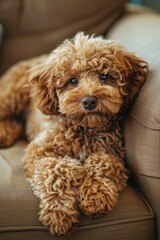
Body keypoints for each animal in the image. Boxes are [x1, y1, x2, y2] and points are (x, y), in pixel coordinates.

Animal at [0, 32, 148, 234]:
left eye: (104, 76)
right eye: (73, 81)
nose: (89, 101)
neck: (85, 128)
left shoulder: (115, 154)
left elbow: (102, 162)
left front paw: (96, 195)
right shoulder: (39, 151)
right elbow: (56, 169)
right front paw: (58, 212)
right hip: (12, 95)